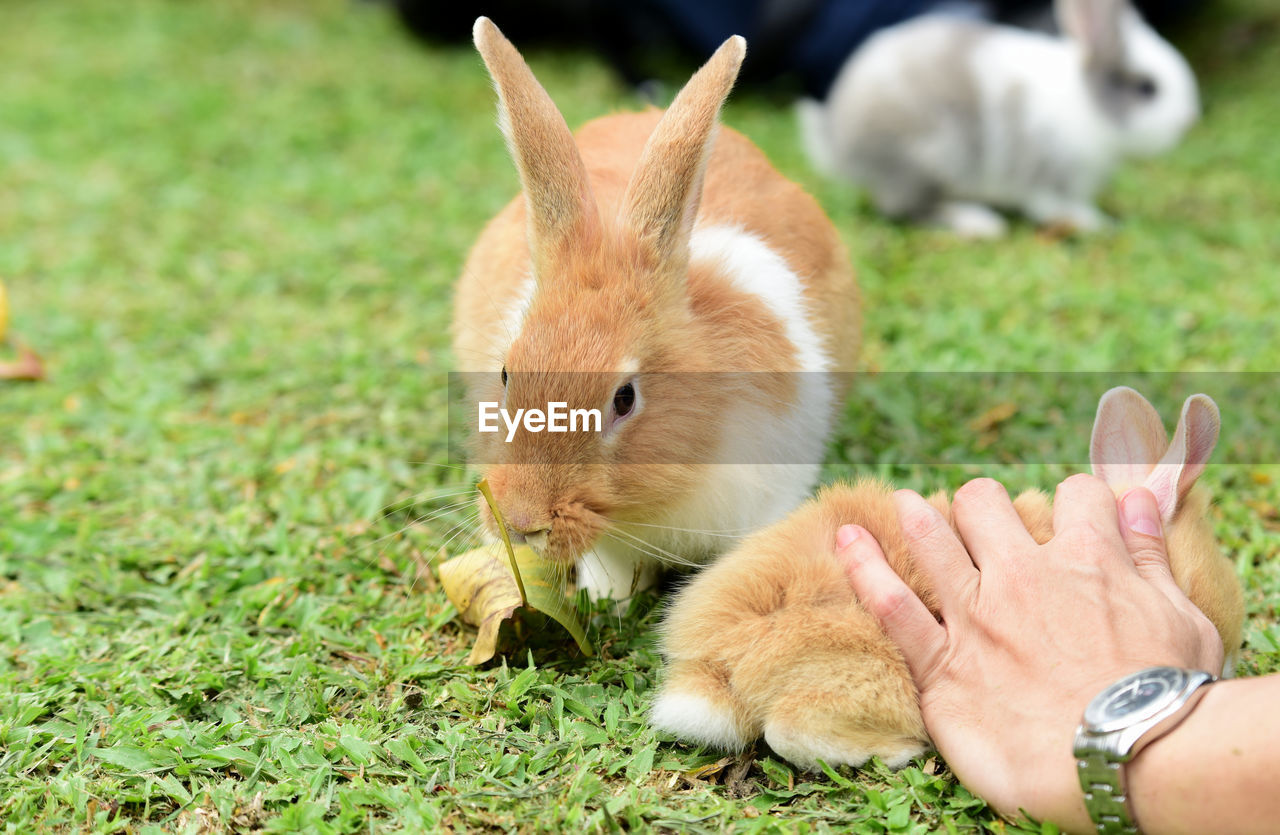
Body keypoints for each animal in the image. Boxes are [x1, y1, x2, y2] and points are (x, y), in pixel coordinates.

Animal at [798, 0, 1198, 236]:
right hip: (928, 161)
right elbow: (1055, 207)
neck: (1088, 104)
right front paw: (1096, 224)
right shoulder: (1049, 176)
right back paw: (976, 221)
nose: (1189, 120)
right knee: (907, 210)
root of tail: (840, 145)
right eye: (1147, 88)